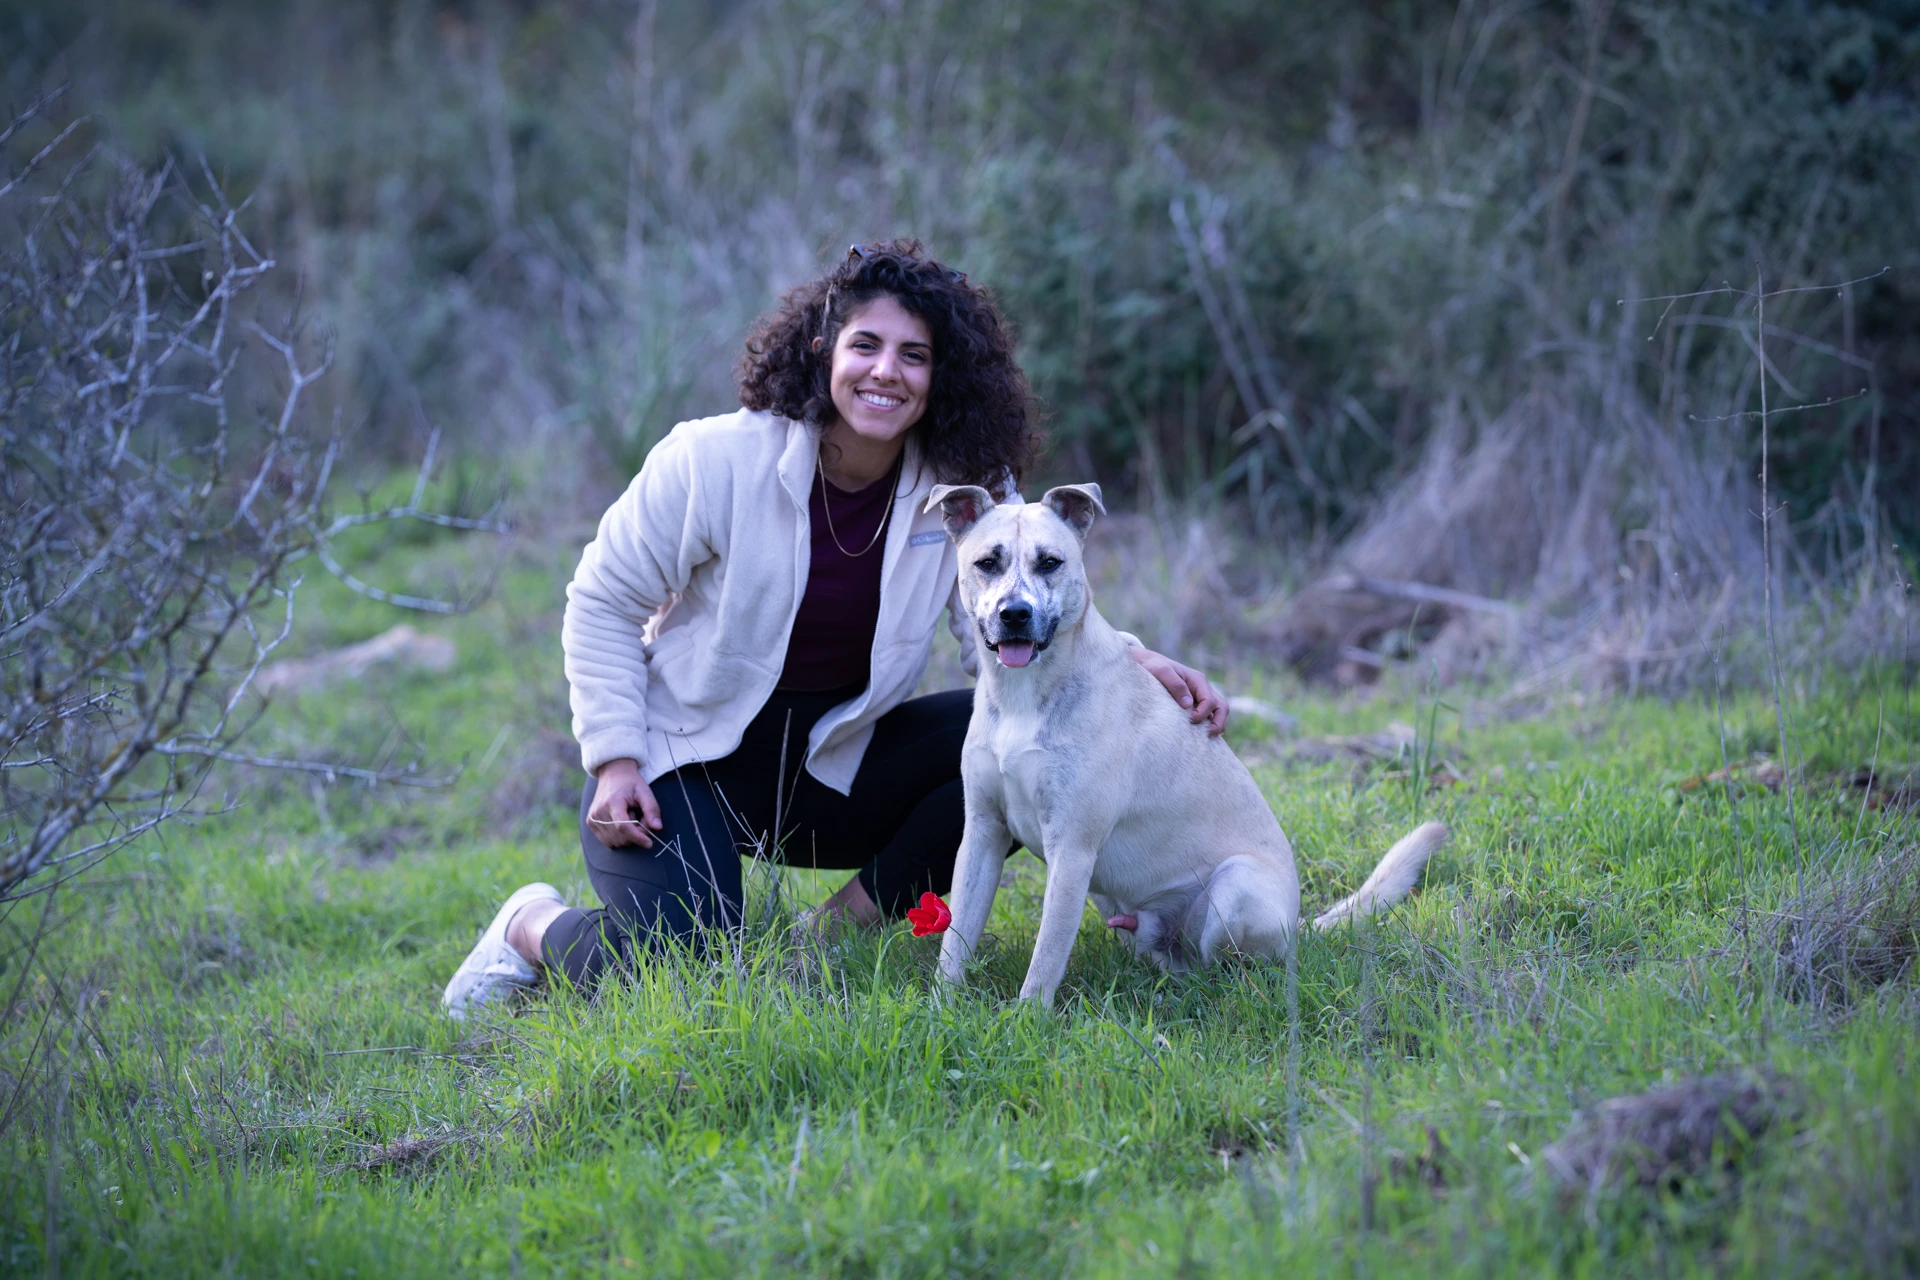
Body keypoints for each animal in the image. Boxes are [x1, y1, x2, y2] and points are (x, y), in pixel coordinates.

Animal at [926, 482, 1448, 1007]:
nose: (1015, 613)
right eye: (987, 563)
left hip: (1234, 890)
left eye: (1050, 562)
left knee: (1225, 966)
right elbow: (955, 940)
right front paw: (942, 1008)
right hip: (1112, 902)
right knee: (1169, 958)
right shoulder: (982, 833)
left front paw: (1028, 1018)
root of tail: (1298, 925)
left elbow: (1045, 958)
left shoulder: (1072, 849)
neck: (1022, 695)